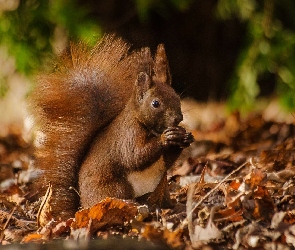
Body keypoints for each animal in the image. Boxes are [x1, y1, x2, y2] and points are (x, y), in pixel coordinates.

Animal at [28, 34, 193, 219]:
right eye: (155, 103)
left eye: (177, 97)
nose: (178, 118)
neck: (150, 128)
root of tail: (82, 205)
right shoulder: (128, 135)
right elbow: (135, 156)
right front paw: (166, 138)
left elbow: (167, 160)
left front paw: (185, 137)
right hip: (114, 187)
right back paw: (132, 205)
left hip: (161, 187)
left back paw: (169, 207)